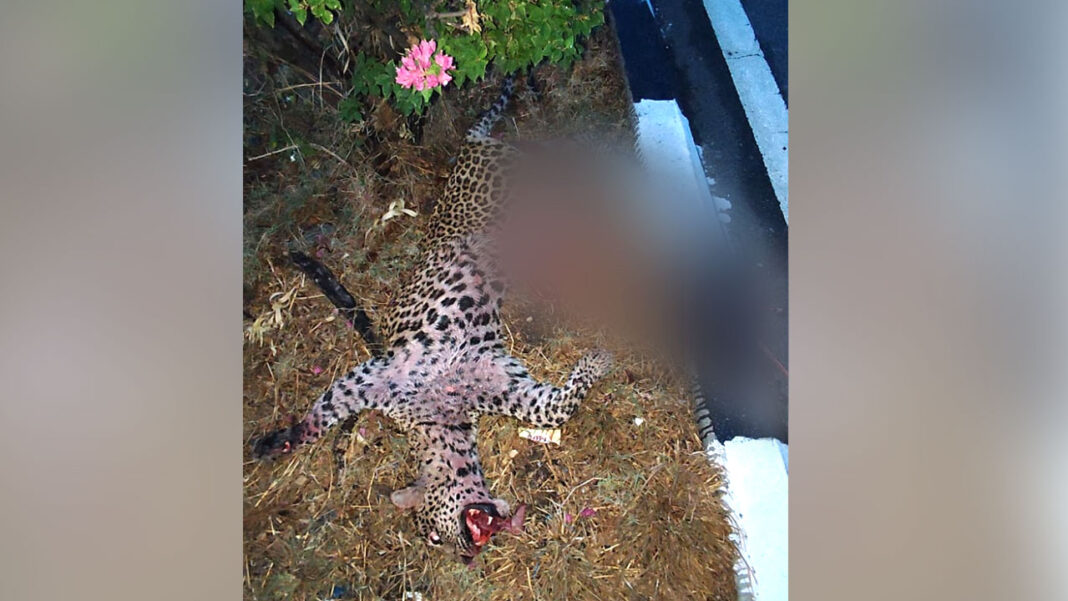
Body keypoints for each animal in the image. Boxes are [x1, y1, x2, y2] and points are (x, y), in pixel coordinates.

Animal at [251, 75, 614, 566]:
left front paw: (277, 442)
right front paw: (596, 363)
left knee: (557, 166)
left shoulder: (372, 377)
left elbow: (321, 415)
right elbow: (558, 406)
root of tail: (467, 148)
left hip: (518, 183)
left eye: (434, 537)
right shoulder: (512, 388)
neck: (442, 416)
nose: (467, 557)